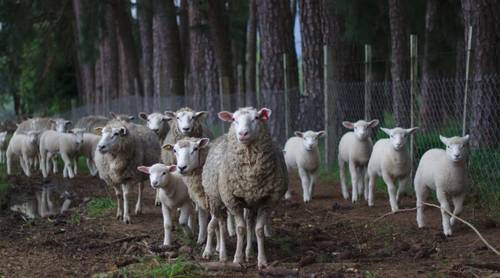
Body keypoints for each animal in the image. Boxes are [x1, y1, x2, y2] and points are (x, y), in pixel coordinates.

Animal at [204, 107, 290, 268]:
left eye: (256, 118)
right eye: (234, 119)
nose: (243, 134)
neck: (250, 176)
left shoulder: (267, 201)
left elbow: (259, 230)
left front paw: (262, 261)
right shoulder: (232, 200)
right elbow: (240, 229)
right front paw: (238, 258)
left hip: (251, 202)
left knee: (250, 222)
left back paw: (249, 252)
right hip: (216, 199)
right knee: (221, 224)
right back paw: (223, 254)